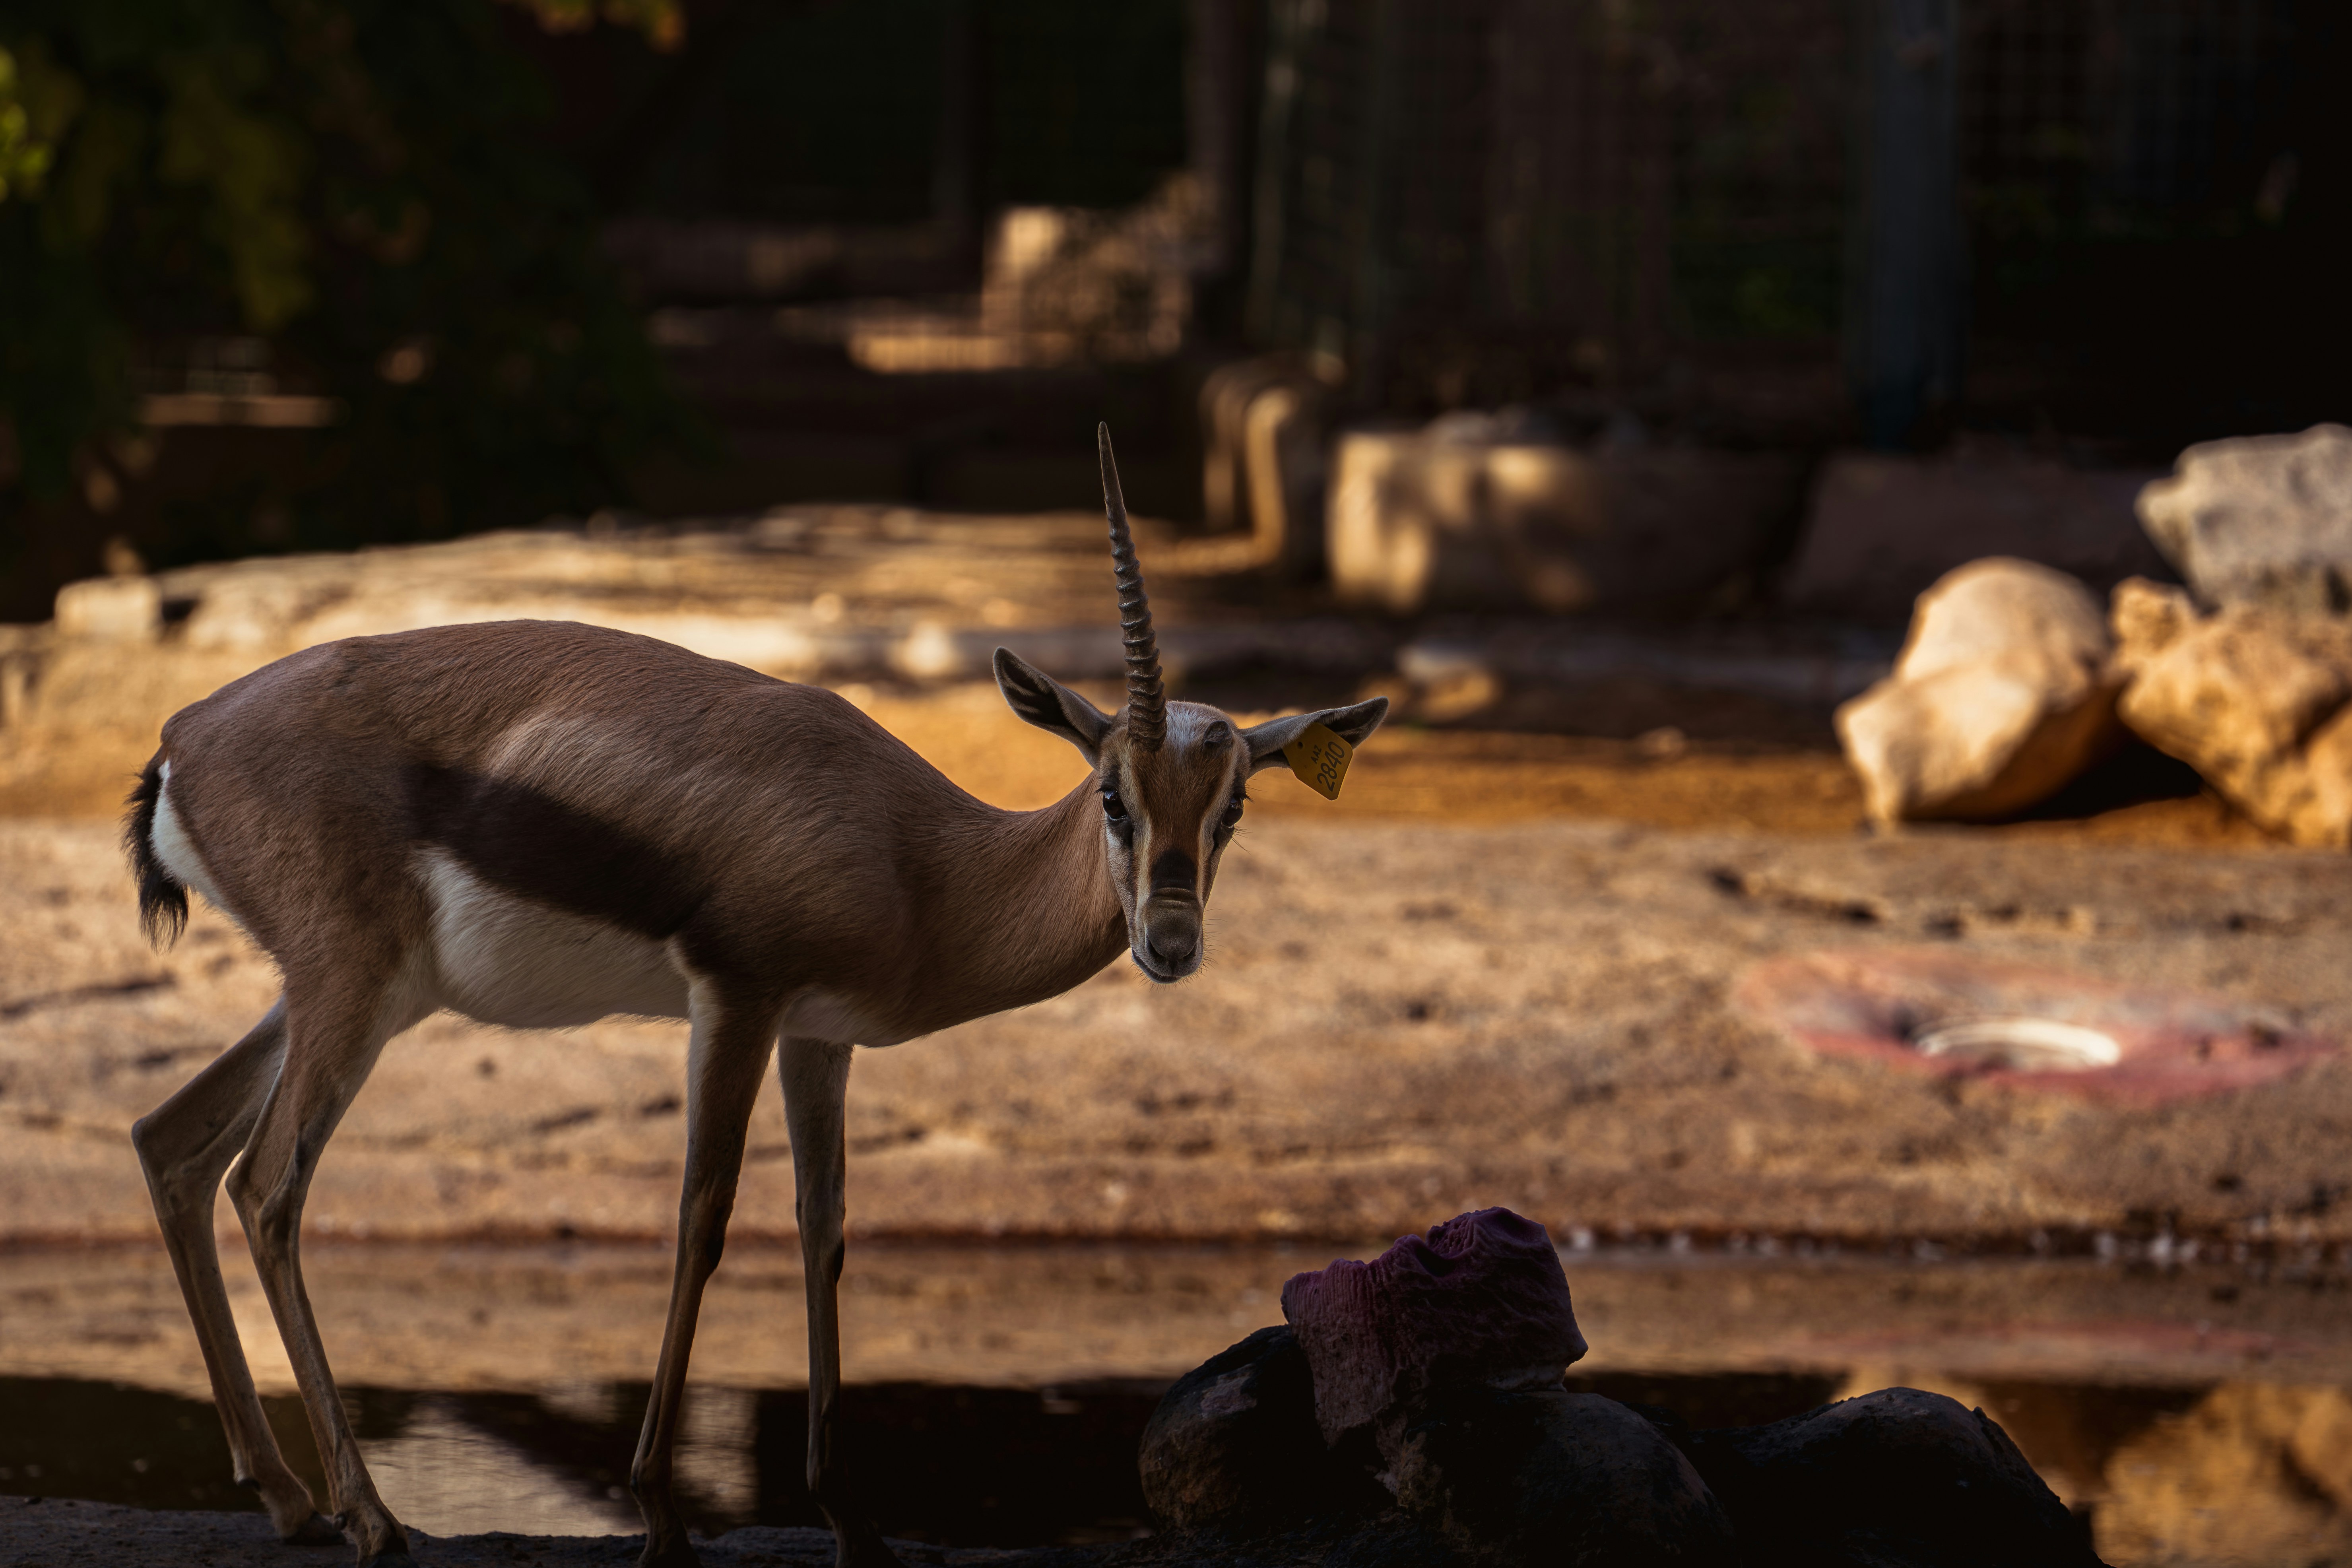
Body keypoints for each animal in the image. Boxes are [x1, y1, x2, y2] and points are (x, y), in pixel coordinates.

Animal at [124, 426, 1386, 1568]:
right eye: (1114, 795)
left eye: (1231, 808)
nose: (1170, 944)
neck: (921, 864)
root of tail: (183, 736)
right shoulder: (735, 1002)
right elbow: (704, 1216)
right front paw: (660, 1516)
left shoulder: (818, 1038)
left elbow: (822, 1226)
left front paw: (848, 1521)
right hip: (351, 990)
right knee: (268, 1187)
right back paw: (372, 1518)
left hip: (353, 996)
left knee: (171, 1140)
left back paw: (291, 1501)